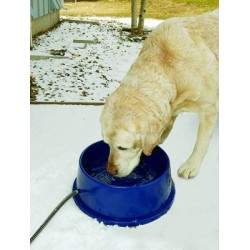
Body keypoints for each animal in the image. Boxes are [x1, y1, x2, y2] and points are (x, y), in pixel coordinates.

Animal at [100, 9, 218, 178]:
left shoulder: (209, 109)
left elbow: (201, 142)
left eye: (123, 148)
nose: (110, 172)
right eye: (107, 144)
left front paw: (191, 165)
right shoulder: (170, 106)